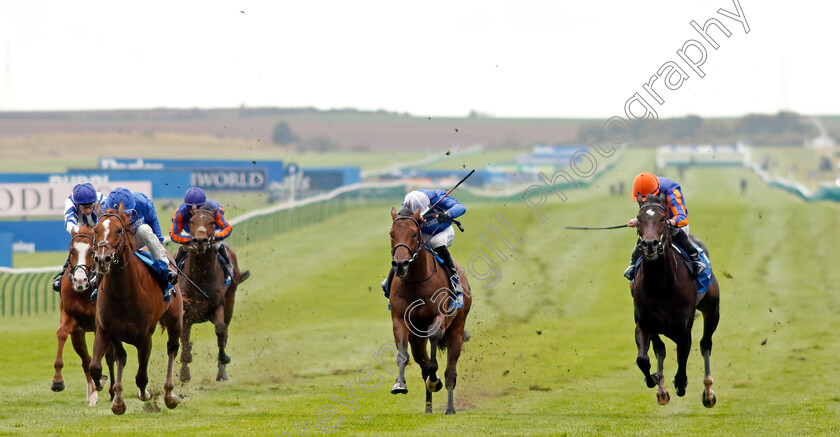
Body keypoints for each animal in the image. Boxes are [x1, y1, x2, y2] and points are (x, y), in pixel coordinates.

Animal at [50, 225, 115, 406]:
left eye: (92, 251)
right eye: (72, 250)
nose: (80, 281)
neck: (84, 292)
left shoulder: (100, 324)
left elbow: (103, 356)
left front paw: (101, 382)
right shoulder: (72, 321)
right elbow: (63, 335)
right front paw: (58, 381)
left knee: (112, 357)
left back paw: (113, 391)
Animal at [88, 204, 184, 416]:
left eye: (119, 230)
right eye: (95, 230)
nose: (102, 259)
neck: (124, 292)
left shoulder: (145, 336)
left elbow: (141, 377)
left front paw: (146, 394)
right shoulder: (106, 330)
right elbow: (96, 366)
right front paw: (113, 396)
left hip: (175, 320)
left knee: (172, 349)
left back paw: (169, 395)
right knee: (121, 358)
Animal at [179, 208, 251, 382]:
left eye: (212, 222)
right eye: (192, 221)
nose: (200, 240)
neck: (200, 277)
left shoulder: (216, 306)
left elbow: (220, 330)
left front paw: (224, 360)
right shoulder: (186, 313)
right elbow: (184, 341)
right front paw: (184, 373)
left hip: (230, 301)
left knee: (225, 331)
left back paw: (222, 371)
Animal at [388, 206, 470, 414]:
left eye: (414, 233)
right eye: (392, 234)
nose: (400, 264)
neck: (415, 282)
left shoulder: (439, 316)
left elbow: (434, 359)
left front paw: (435, 380)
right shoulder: (400, 319)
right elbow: (404, 355)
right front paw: (399, 384)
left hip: (456, 330)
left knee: (450, 371)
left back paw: (449, 407)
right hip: (417, 337)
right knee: (421, 360)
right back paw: (428, 407)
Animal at [632, 194, 720, 406]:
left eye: (663, 219)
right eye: (638, 219)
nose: (649, 244)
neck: (659, 286)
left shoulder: (683, 328)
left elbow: (682, 357)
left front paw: (680, 383)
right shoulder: (644, 323)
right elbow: (643, 359)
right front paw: (656, 379)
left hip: (712, 310)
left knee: (705, 345)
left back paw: (708, 392)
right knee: (660, 349)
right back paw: (661, 390)